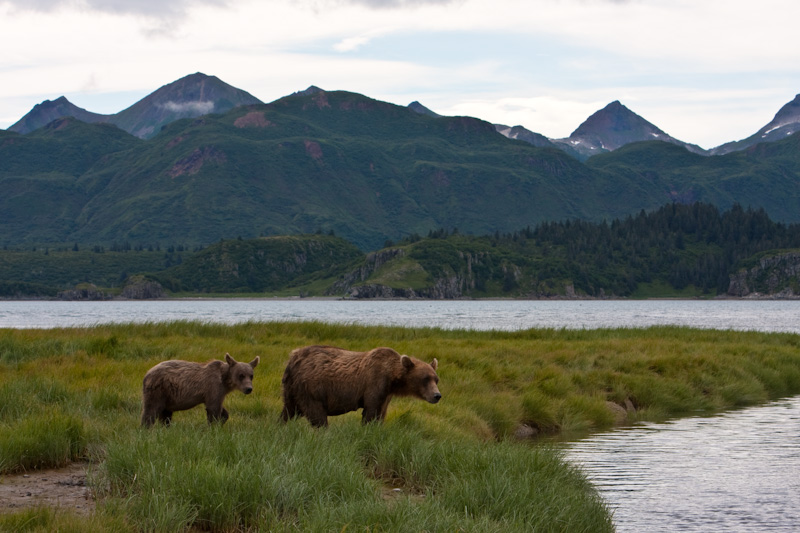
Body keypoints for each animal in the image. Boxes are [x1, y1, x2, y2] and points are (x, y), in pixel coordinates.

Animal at [282, 344, 444, 428]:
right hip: (311, 387)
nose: (437, 395)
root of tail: (293, 358)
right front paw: (368, 428)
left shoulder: (386, 394)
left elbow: (381, 412)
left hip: (292, 388)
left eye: (436, 379)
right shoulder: (375, 383)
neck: (392, 379)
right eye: (425, 379)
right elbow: (371, 411)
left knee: (289, 410)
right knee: (316, 414)